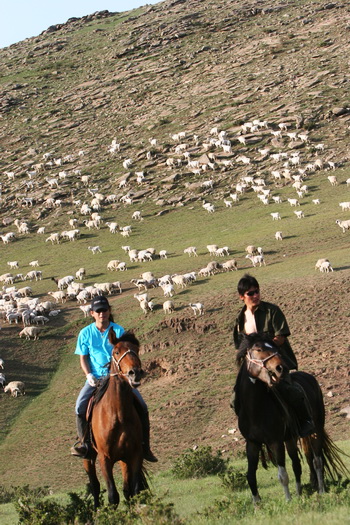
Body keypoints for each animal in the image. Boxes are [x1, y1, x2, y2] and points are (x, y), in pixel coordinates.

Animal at [84, 330, 149, 506]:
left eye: (136, 349)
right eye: (117, 352)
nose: (135, 373)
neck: (118, 414)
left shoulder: (134, 455)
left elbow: (133, 491)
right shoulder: (104, 458)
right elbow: (113, 496)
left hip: (123, 459)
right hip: (88, 458)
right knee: (94, 485)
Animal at [234, 334, 348, 502]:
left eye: (276, 348)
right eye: (258, 349)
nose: (281, 368)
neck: (255, 410)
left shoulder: (275, 442)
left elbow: (282, 475)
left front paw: (288, 500)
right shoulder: (252, 443)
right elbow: (251, 475)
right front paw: (257, 503)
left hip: (316, 430)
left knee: (317, 460)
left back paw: (321, 490)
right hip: (290, 438)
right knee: (297, 464)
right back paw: (300, 492)